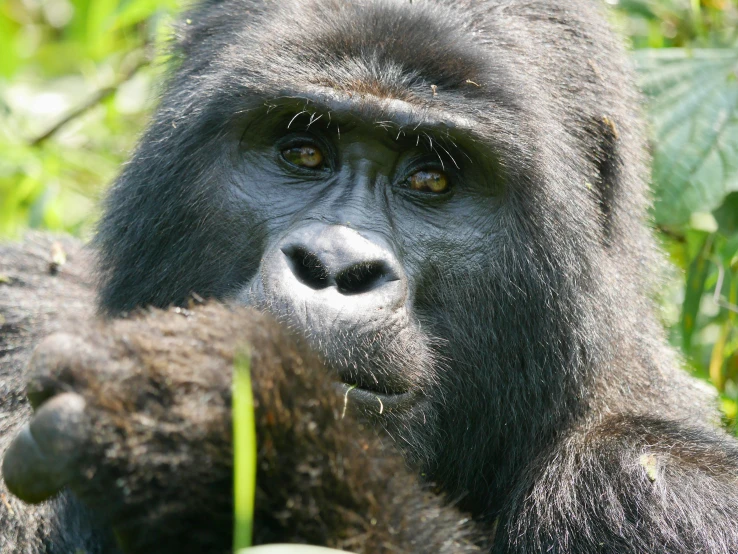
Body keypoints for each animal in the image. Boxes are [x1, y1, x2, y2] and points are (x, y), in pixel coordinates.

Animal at [1, 0, 736, 548]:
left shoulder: (664, 492)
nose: (334, 266)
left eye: (432, 178)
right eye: (303, 151)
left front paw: (222, 431)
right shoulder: (26, 297)